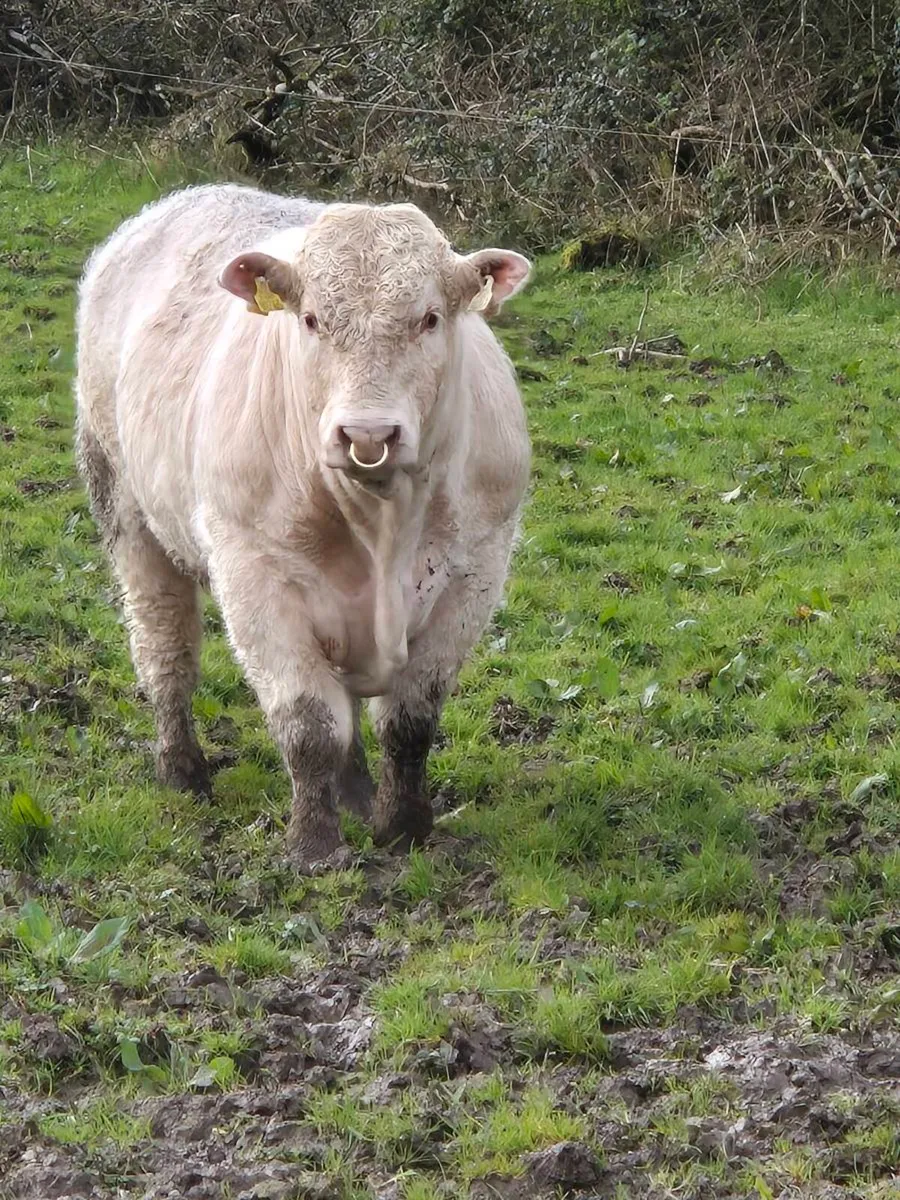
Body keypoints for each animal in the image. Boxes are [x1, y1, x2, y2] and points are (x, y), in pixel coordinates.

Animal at [74, 184, 531, 869]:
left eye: (429, 319)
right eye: (312, 319)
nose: (367, 434)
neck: (380, 523)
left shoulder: (474, 572)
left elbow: (409, 720)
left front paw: (403, 827)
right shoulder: (255, 577)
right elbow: (309, 724)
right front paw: (313, 847)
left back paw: (357, 793)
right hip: (126, 510)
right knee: (165, 648)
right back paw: (182, 769)